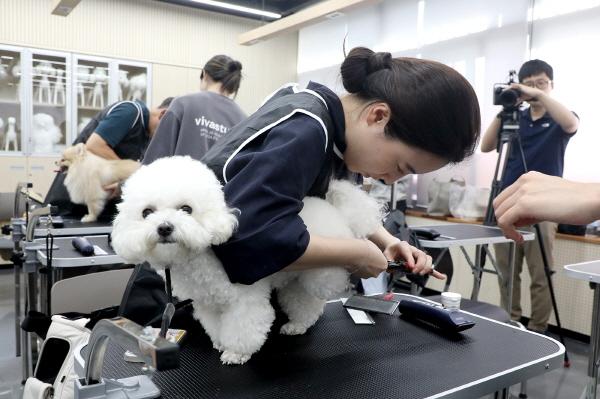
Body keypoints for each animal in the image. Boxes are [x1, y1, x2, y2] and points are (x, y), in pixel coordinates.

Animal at [110, 155, 382, 366]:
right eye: (147, 212)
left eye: (186, 209)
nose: (164, 227)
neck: (201, 259)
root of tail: (338, 211)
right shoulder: (207, 303)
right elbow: (215, 325)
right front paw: (220, 343)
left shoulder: (244, 300)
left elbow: (244, 327)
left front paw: (235, 353)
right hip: (295, 279)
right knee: (302, 301)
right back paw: (297, 325)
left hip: (320, 275)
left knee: (318, 294)